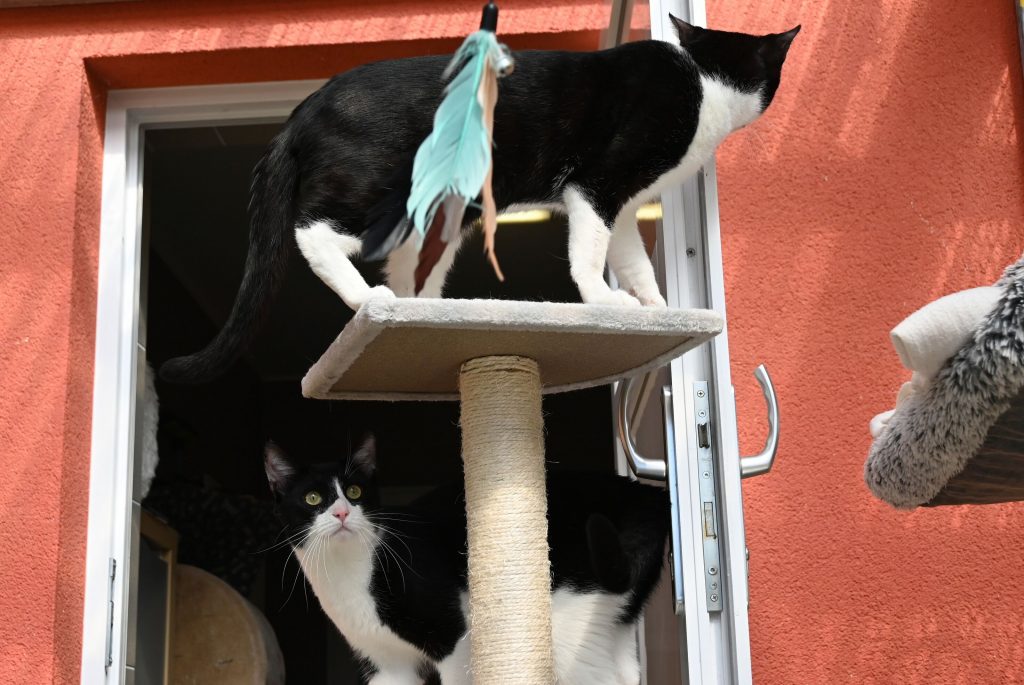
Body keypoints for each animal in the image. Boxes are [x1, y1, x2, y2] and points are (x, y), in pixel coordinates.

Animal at [160, 17, 799, 384]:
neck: (702, 79)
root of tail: (304, 108)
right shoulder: (598, 183)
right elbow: (591, 255)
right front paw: (603, 303)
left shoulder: (621, 205)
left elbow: (633, 260)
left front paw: (662, 313)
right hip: (376, 188)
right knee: (312, 232)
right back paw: (369, 300)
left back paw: (420, 310)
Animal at [264, 436, 669, 684]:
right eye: (313, 498)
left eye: (354, 491)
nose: (342, 513)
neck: (348, 574)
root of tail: (645, 495)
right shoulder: (383, 664)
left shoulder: (452, 637)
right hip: (612, 618)